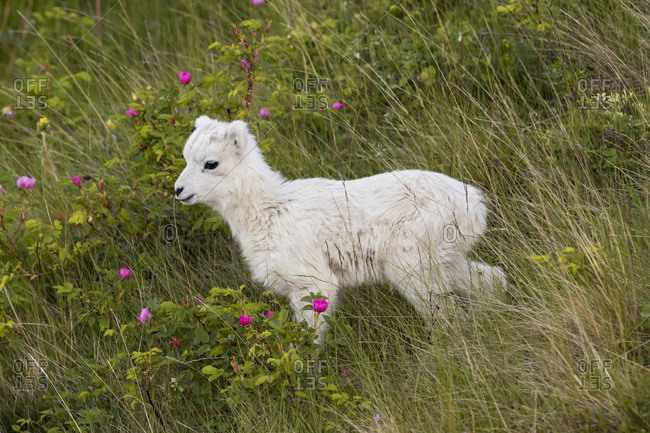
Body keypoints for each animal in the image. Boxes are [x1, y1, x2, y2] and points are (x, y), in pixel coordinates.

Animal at [175, 116, 505, 341]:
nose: (178, 191)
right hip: (445, 257)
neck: (269, 209)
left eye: (211, 163)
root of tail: (477, 205)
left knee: (447, 313)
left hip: (411, 261)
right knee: (488, 280)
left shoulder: (313, 281)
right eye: (185, 158)